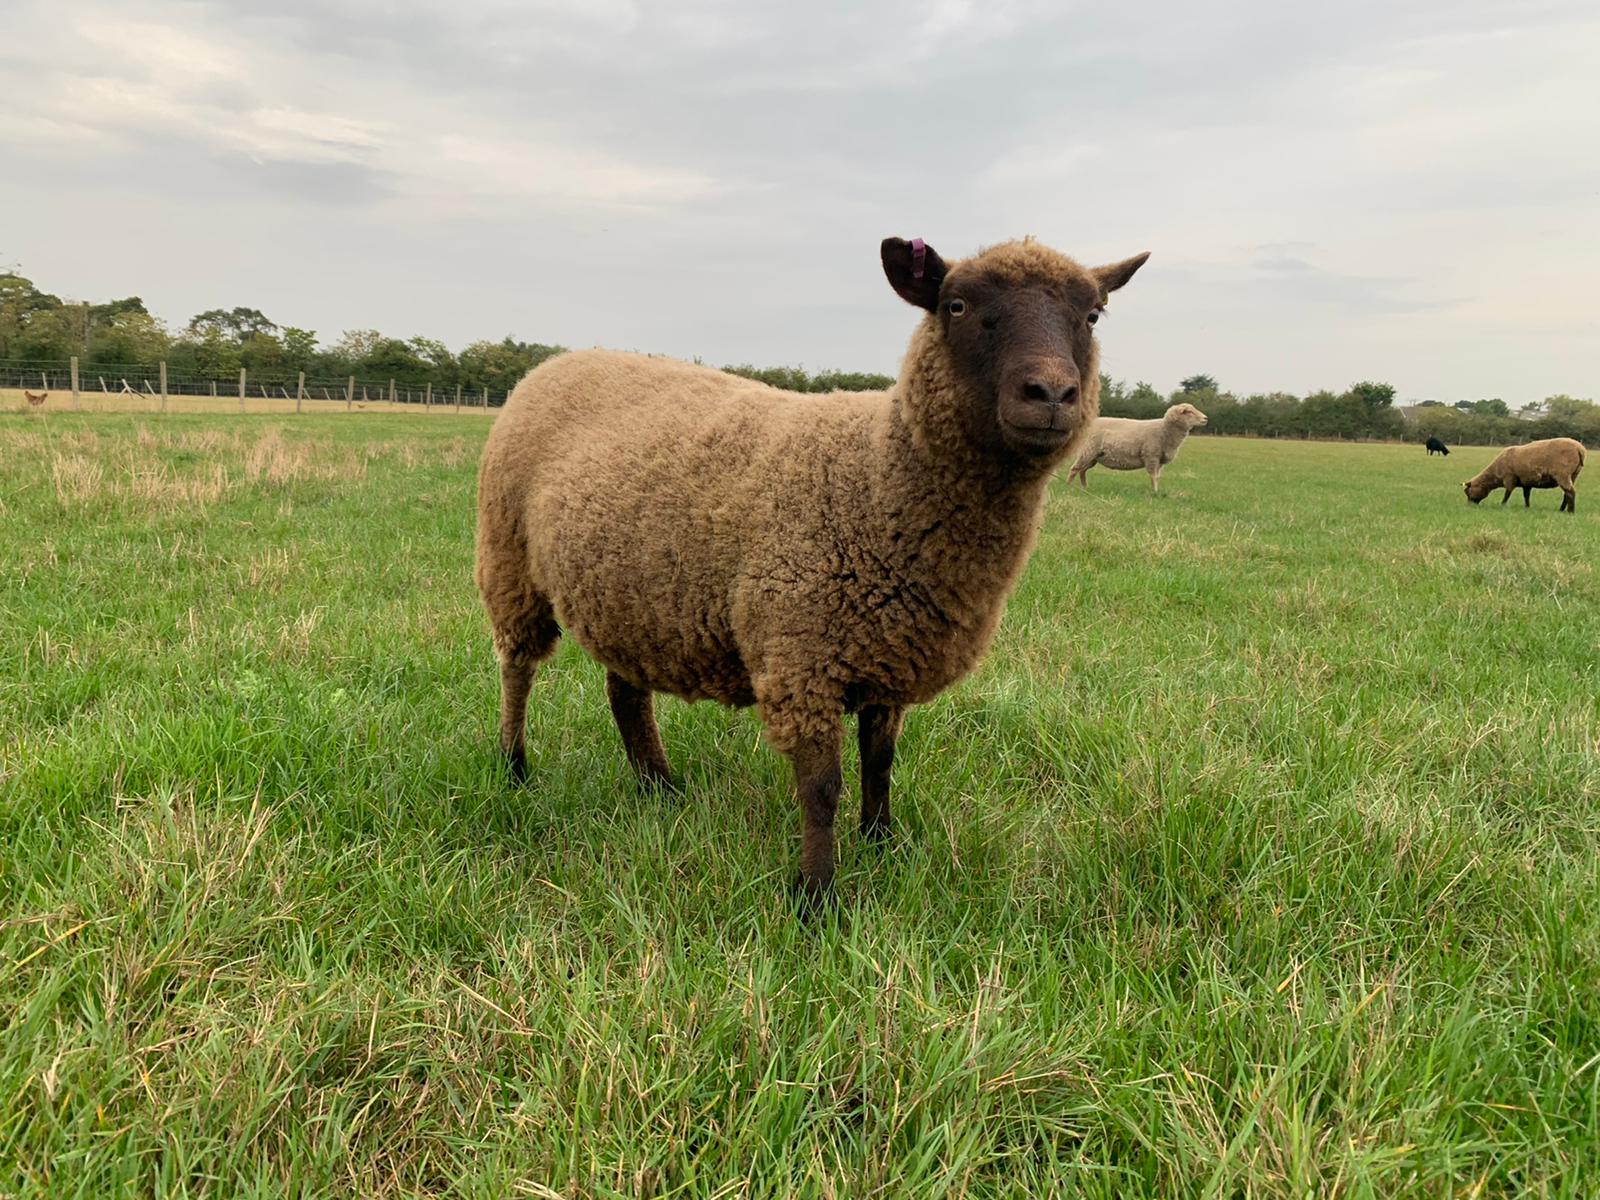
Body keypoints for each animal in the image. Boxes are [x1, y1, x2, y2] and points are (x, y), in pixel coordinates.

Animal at [476, 235, 1149, 906]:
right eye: (956, 305)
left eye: (1092, 316)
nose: (1052, 395)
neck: (875, 477)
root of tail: (560, 360)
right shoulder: (802, 660)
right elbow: (821, 789)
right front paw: (817, 899)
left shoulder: (888, 653)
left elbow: (880, 763)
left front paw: (882, 844)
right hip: (509, 558)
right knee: (517, 667)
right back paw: (515, 767)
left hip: (630, 594)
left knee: (625, 692)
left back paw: (659, 788)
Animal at [1065, 402, 1207, 493]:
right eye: (1189, 412)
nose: (1205, 419)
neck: (1164, 430)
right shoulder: (1151, 456)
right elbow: (1153, 476)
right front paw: (1155, 492)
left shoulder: (1159, 460)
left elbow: (1157, 476)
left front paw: (1156, 490)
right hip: (1087, 450)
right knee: (1074, 469)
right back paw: (1068, 487)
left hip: (1094, 456)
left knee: (1082, 471)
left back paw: (1085, 488)